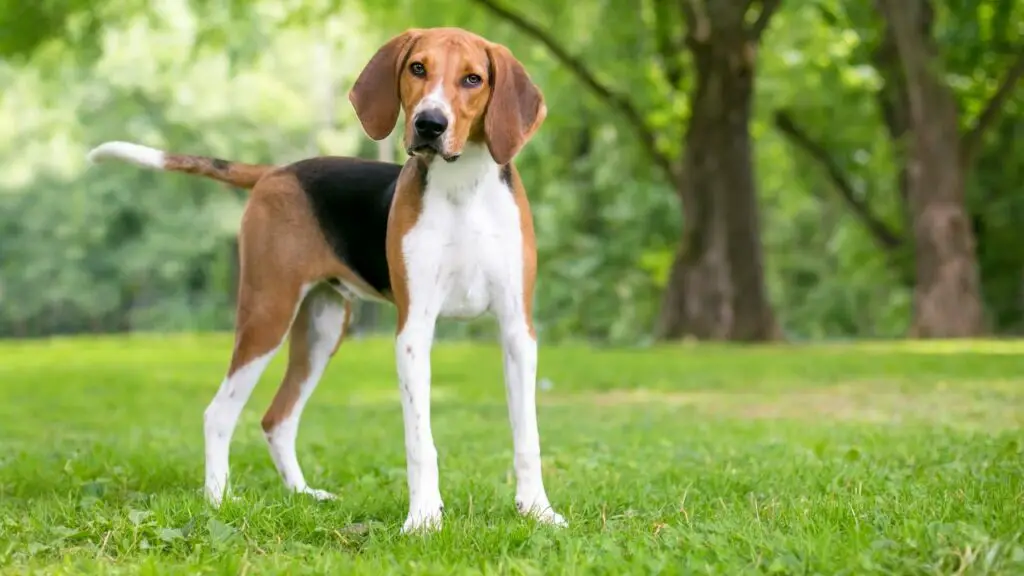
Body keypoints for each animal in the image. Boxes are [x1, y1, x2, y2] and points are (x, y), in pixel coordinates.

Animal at [86, 25, 569, 528]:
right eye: (418, 68)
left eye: (473, 79)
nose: (429, 124)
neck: (464, 190)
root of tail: (276, 171)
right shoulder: (414, 330)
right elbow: (420, 441)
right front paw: (423, 519)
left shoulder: (517, 330)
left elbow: (527, 436)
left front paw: (537, 510)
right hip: (268, 314)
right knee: (219, 413)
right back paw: (218, 500)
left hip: (321, 329)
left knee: (277, 419)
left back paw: (302, 495)